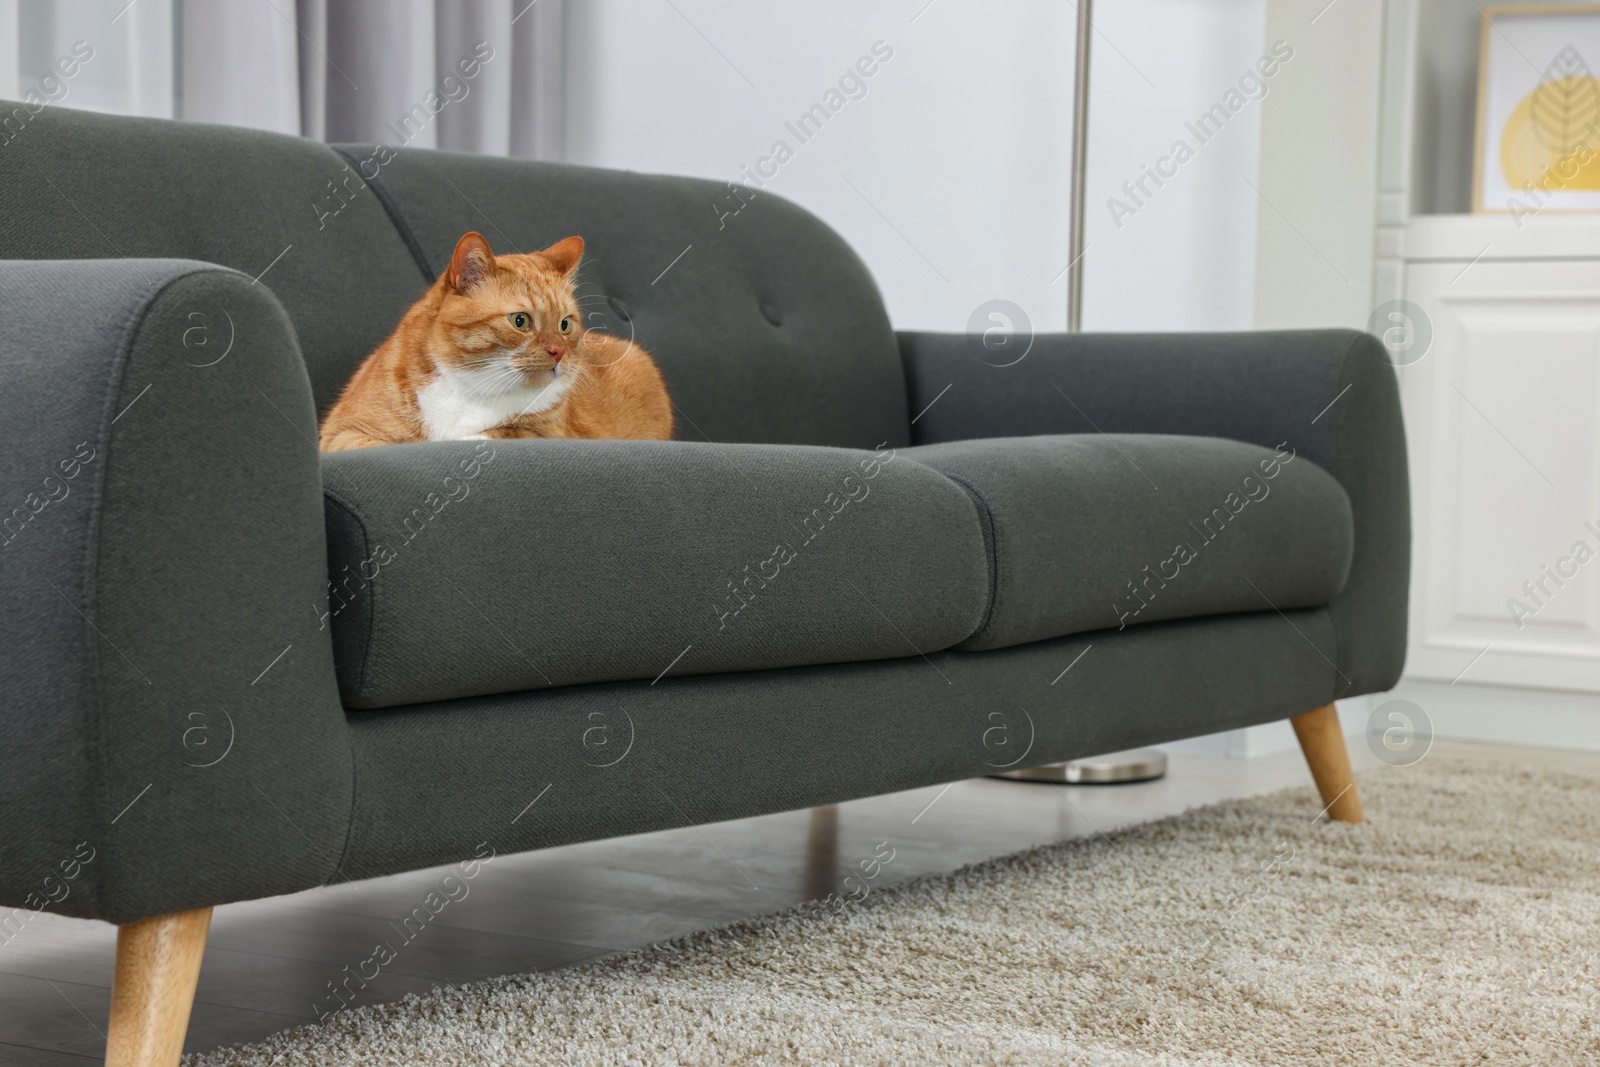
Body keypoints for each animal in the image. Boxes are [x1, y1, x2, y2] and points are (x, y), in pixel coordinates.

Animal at [321, 231, 672, 454]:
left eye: (564, 324)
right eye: (520, 321)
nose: (559, 352)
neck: (470, 387)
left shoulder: (542, 433)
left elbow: (491, 434)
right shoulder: (342, 434)